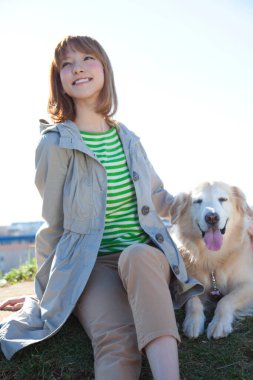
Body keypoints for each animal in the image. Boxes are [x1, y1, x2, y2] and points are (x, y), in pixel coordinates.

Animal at [169, 181, 253, 338]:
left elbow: (226, 300)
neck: (213, 257)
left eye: (222, 199)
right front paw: (193, 322)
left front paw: (219, 324)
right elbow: (193, 300)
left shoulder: (248, 284)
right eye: (198, 201)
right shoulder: (183, 284)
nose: (212, 217)